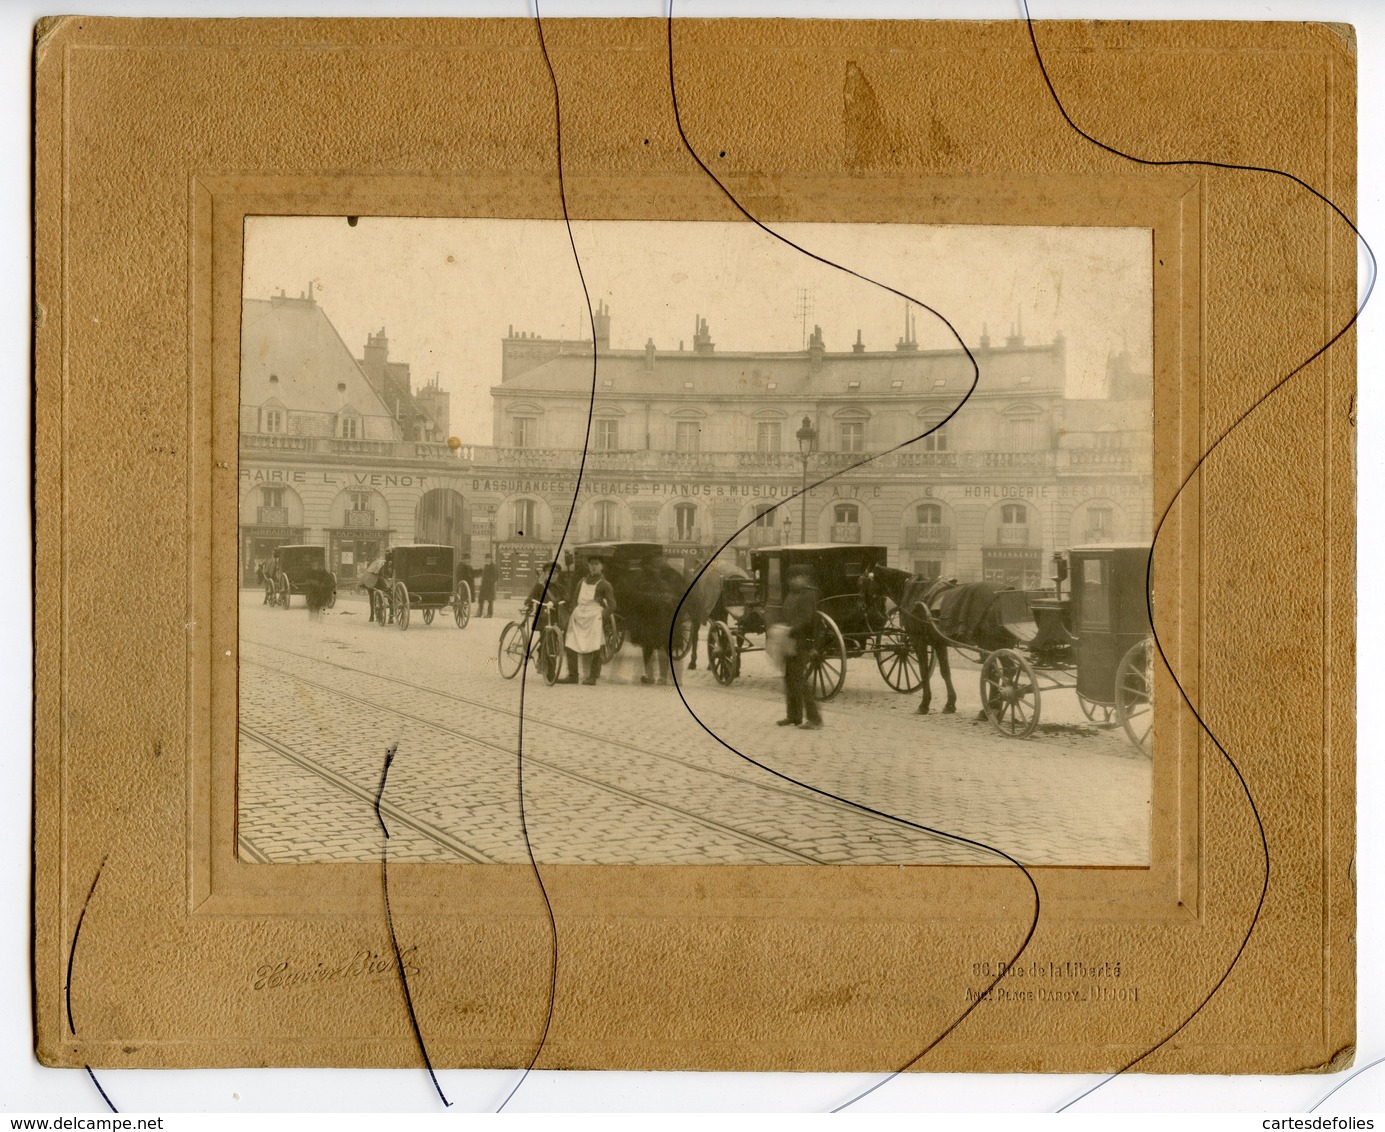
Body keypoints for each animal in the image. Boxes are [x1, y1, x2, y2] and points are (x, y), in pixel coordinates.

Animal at [864, 565, 1019, 714]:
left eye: (864, 581)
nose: (865, 608)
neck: (915, 591)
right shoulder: (939, 643)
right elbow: (945, 672)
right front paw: (950, 703)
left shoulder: (918, 642)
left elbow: (924, 672)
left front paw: (924, 704)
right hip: (1001, 645)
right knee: (1003, 671)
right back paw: (996, 707)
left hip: (990, 645)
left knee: (998, 673)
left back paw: (992, 709)